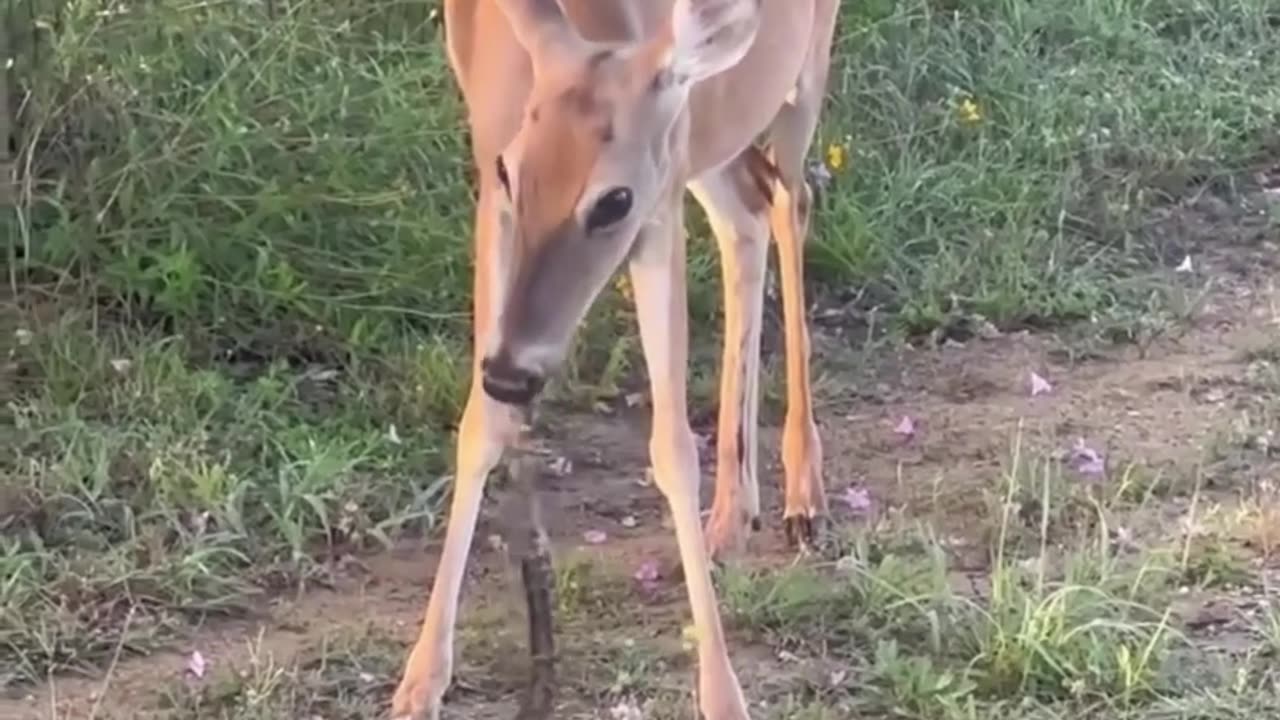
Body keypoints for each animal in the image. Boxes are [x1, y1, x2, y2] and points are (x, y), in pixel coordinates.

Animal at [394, 0, 844, 712]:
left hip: (800, 74)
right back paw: (730, 518)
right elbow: (479, 425)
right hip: (712, 143)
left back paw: (805, 499)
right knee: (747, 212)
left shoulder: (658, 201)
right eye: (513, 173)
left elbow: (673, 449)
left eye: (614, 199)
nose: (512, 374)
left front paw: (723, 696)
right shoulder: (491, 178)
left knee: (789, 199)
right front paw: (419, 681)